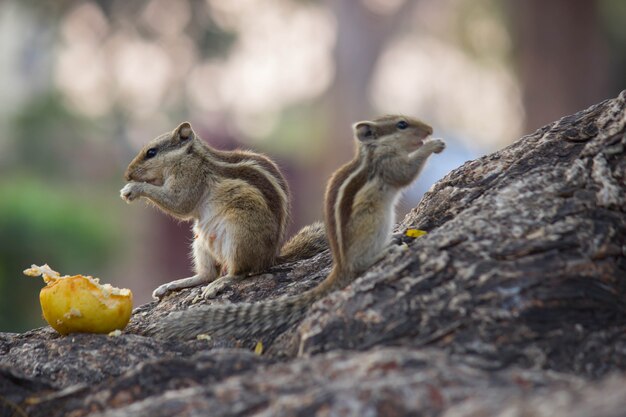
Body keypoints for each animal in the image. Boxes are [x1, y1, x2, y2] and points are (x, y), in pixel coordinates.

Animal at [120, 122, 326, 300]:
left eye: (151, 152)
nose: (127, 175)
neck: (190, 156)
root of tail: (270, 259)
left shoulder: (190, 178)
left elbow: (180, 204)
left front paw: (133, 188)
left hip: (239, 236)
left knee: (240, 272)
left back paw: (220, 284)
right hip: (200, 242)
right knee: (207, 275)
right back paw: (173, 285)